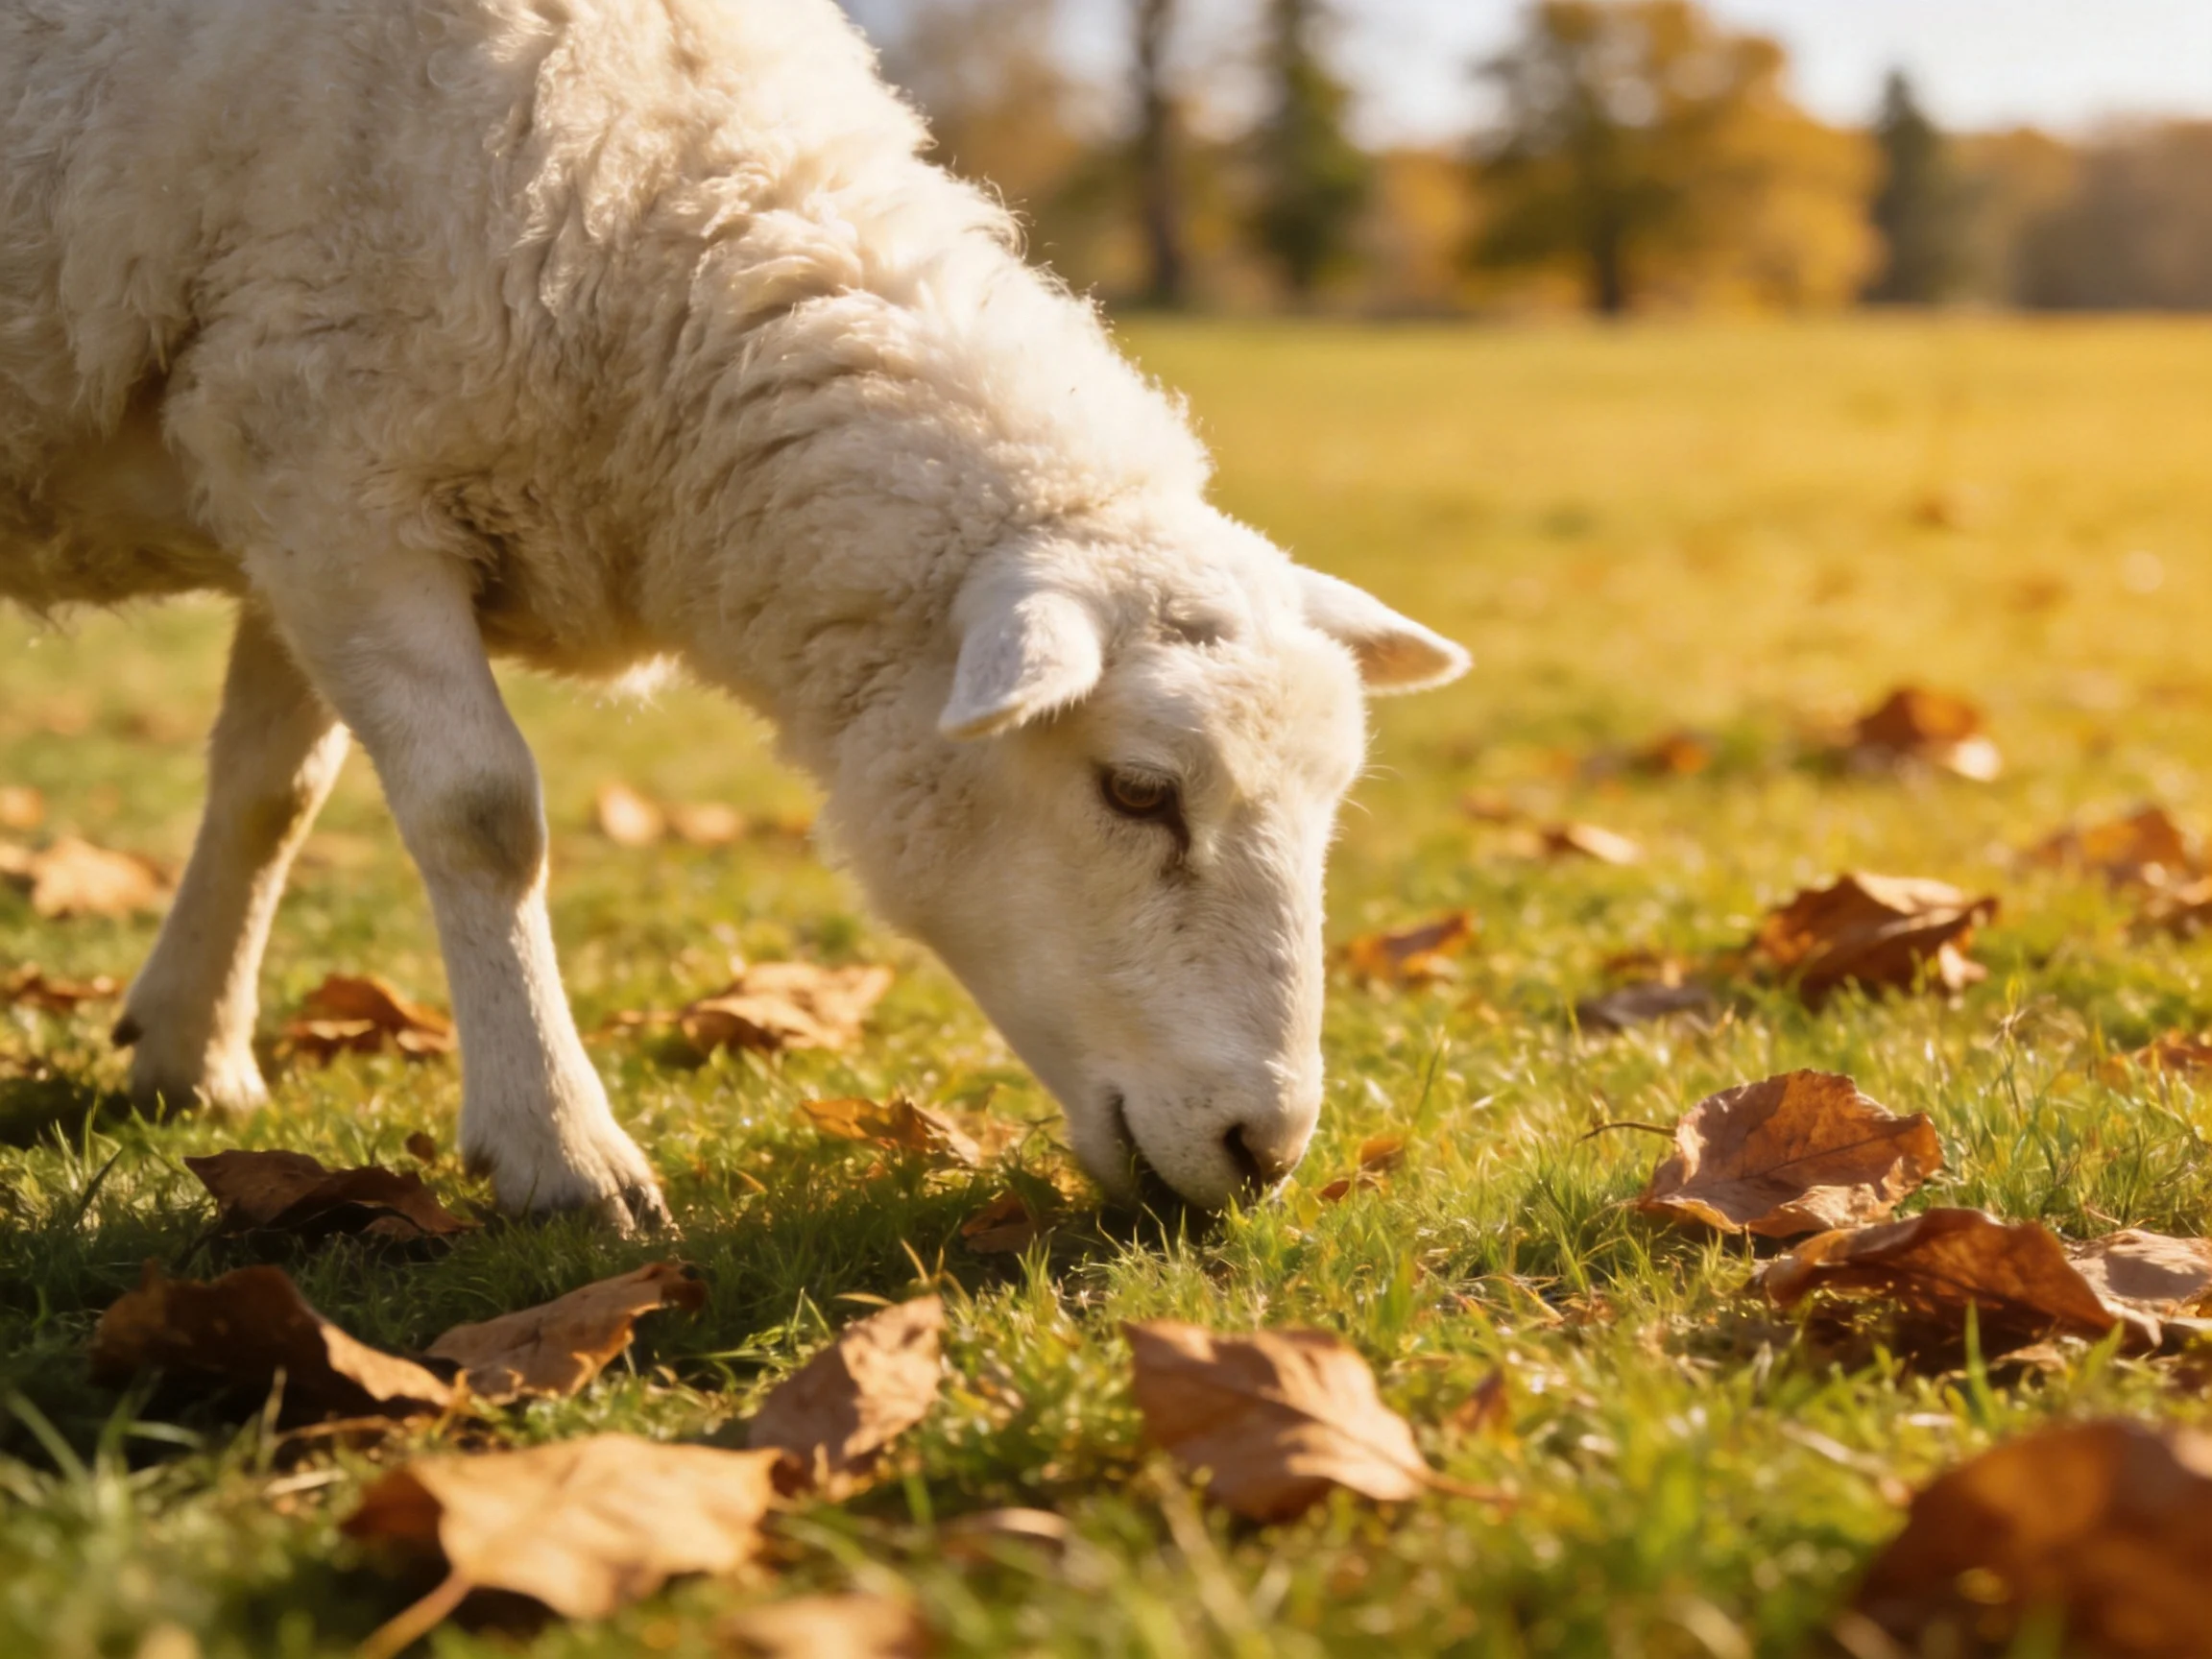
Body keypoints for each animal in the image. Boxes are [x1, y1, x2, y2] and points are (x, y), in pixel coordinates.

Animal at [0, 0, 1468, 1230]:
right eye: (1138, 791)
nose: (1264, 1152)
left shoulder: (281, 482)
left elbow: (270, 791)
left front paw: (189, 1051)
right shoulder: (334, 464)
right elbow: (481, 814)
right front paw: (561, 1152)